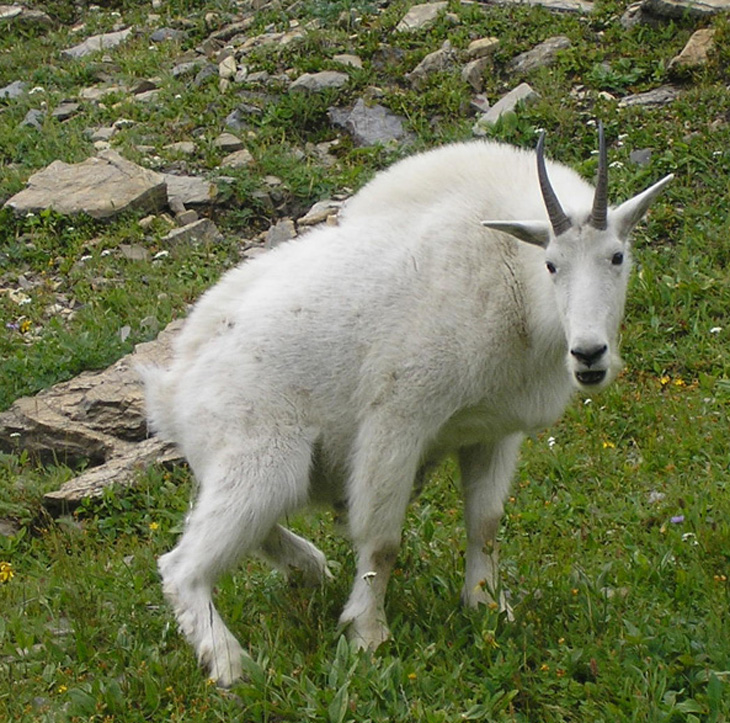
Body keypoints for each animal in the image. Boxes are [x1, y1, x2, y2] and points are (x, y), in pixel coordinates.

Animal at [141, 125, 672, 686]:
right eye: (552, 264)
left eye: (617, 257)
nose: (589, 354)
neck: (511, 280)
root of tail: (172, 393)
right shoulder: (398, 420)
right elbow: (382, 541)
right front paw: (367, 635)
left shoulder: (491, 432)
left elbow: (486, 524)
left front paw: (488, 611)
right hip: (265, 458)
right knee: (182, 566)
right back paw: (230, 663)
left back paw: (311, 569)